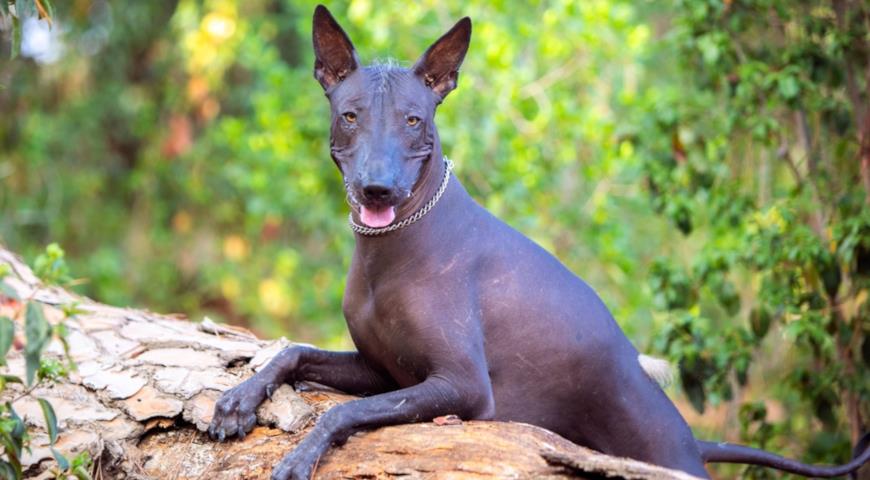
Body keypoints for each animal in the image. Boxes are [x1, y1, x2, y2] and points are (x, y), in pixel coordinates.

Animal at [208, 4, 868, 480]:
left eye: (414, 120)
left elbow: (347, 410)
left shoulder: (459, 386)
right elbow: (294, 353)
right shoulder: (385, 372)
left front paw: (300, 455)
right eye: (350, 116)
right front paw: (239, 398)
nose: (377, 188)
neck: (393, 244)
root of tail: (690, 438)